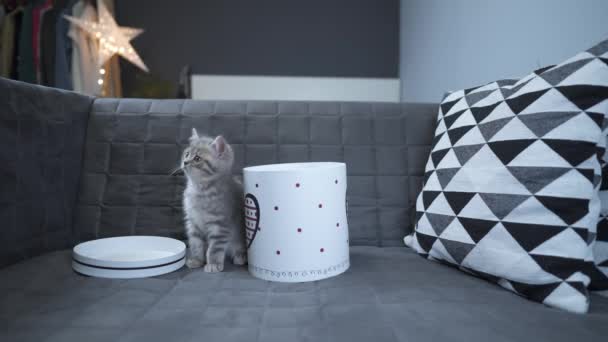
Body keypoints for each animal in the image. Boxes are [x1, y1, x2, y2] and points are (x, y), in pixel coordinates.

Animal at [180, 128, 247, 272]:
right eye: (187, 154)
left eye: (197, 158)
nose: (185, 162)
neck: (199, 190)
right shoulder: (193, 222)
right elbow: (196, 243)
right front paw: (197, 260)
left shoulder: (220, 224)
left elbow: (215, 248)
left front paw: (213, 263)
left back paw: (241, 256)